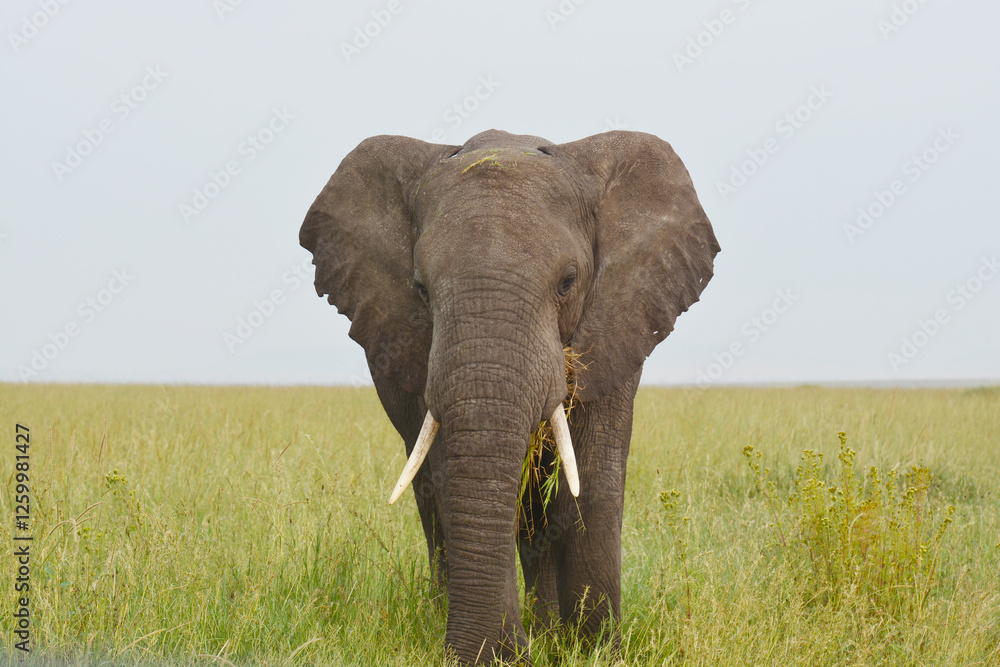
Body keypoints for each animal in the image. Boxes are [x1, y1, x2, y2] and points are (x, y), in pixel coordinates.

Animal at [299, 129, 719, 664]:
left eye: (568, 282)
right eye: (420, 289)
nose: (495, 651)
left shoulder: (619, 318)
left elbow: (591, 480)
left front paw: (595, 651)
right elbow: (453, 475)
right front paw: (500, 655)